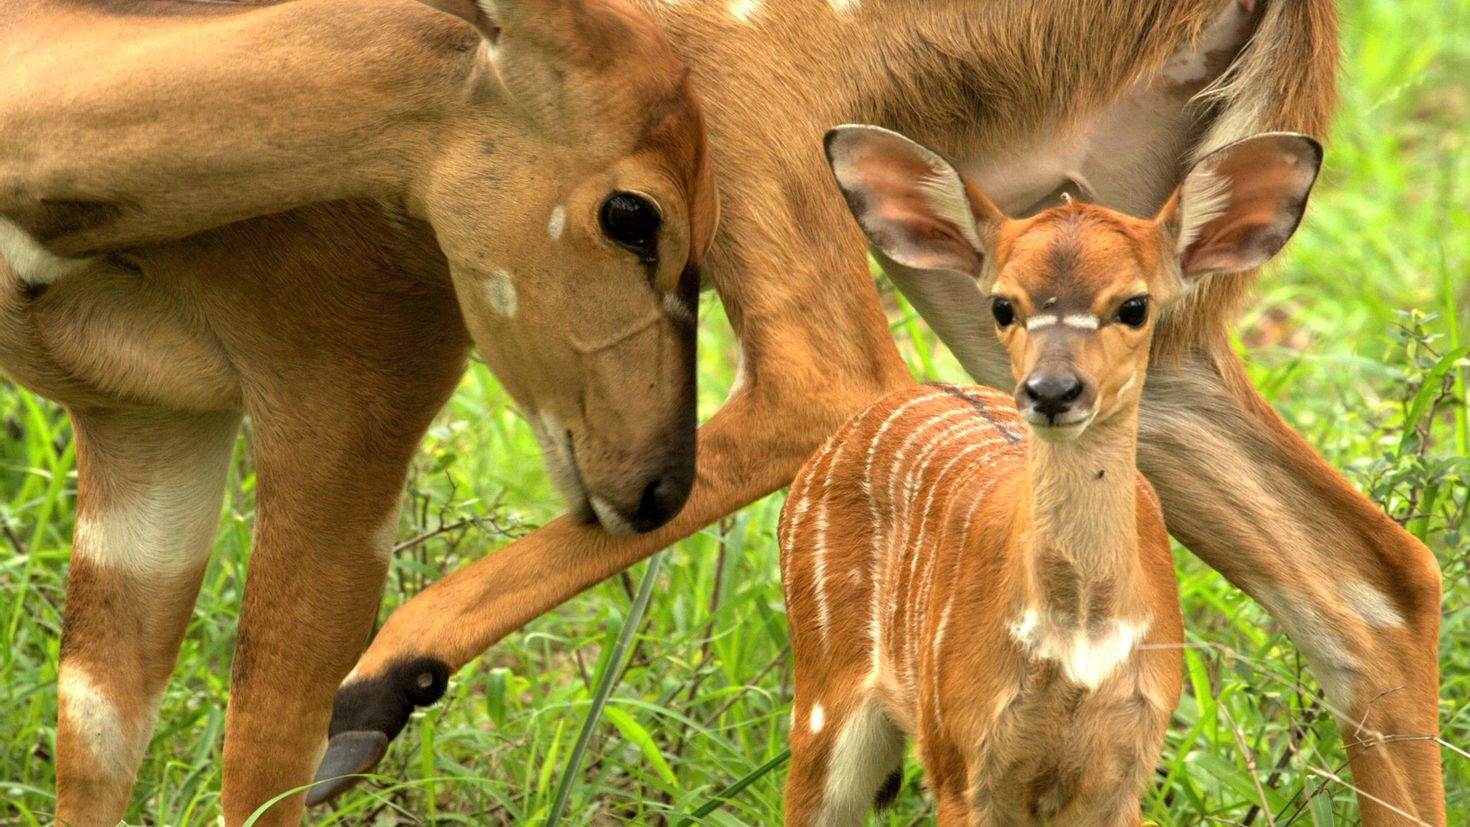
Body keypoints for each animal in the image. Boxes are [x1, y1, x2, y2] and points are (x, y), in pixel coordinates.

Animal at [1, 0, 711, 822]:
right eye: (632, 213)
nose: (660, 486)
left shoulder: (356, 388)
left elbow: (263, 753)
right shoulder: (143, 417)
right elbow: (97, 730)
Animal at [782, 126, 1323, 822]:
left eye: (1134, 305)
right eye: (1002, 306)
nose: (1052, 391)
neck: (1078, 641)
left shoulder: (1125, 768)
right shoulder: (960, 761)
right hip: (826, 700)